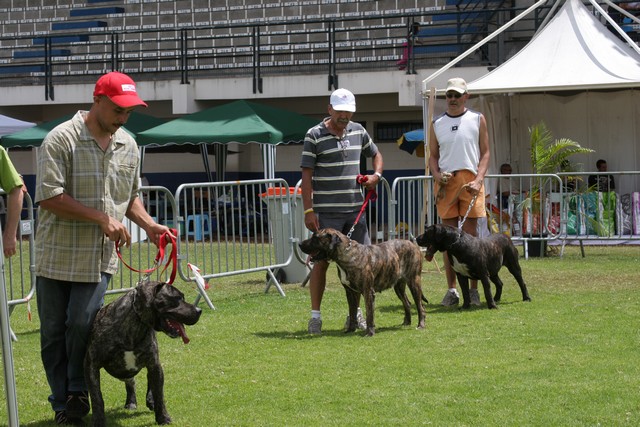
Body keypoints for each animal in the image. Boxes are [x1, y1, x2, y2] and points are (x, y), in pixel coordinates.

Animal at [84, 280, 200, 427]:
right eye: (177, 298)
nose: (199, 310)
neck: (134, 326)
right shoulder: (92, 366)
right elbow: (97, 396)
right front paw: (98, 420)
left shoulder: (154, 364)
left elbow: (159, 393)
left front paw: (163, 417)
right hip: (122, 371)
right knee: (130, 382)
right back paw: (131, 402)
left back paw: (149, 401)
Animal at [298, 229, 428, 336]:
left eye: (316, 238)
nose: (299, 244)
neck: (346, 254)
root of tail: (413, 244)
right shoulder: (350, 292)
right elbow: (352, 312)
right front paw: (351, 329)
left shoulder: (368, 291)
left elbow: (369, 313)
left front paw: (370, 332)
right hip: (398, 286)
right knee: (407, 302)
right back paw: (407, 322)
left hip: (414, 282)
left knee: (420, 306)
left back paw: (421, 325)